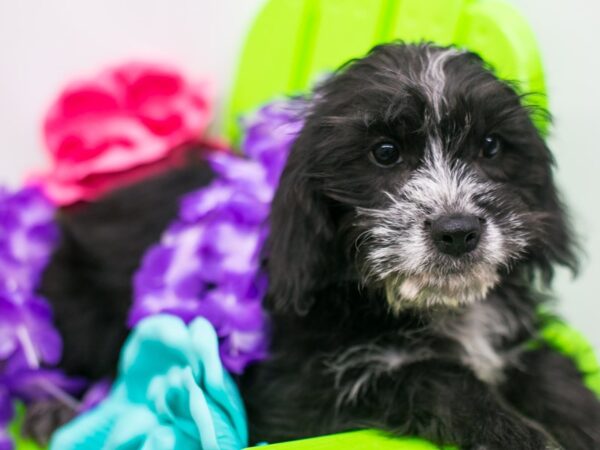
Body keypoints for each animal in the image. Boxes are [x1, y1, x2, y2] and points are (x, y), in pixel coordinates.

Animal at [38, 43, 600, 450]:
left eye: (490, 147)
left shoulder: (512, 339)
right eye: (385, 153)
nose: (459, 231)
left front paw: (580, 418)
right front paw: (515, 434)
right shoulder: (298, 396)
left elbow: (551, 373)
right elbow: (429, 375)